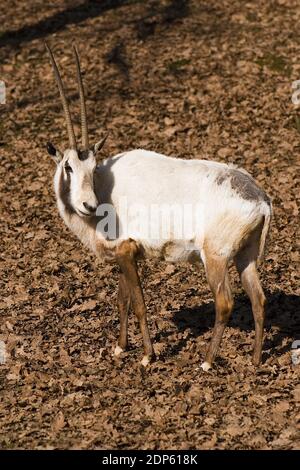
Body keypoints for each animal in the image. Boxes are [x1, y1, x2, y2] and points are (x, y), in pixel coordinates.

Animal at [45, 42, 272, 370]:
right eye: (68, 167)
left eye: (90, 166)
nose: (89, 205)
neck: (105, 186)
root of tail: (261, 199)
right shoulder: (126, 255)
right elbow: (123, 299)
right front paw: (120, 347)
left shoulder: (126, 250)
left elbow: (139, 303)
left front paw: (146, 355)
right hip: (247, 255)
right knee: (258, 299)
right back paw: (254, 360)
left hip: (216, 257)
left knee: (225, 302)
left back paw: (207, 362)